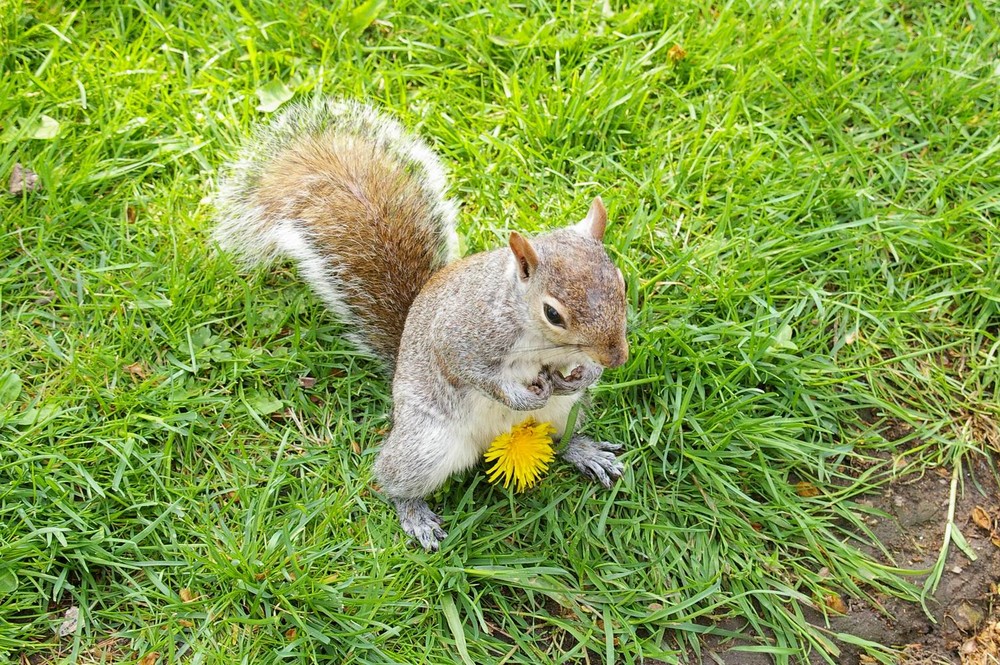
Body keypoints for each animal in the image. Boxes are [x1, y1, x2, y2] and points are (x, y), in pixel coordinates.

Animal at [215, 97, 628, 544]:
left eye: (622, 281)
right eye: (553, 314)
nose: (618, 358)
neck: (525, 323)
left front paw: (587, 374)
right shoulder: (460, 334)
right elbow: (471, 371)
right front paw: (519, 396)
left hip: (564, 412)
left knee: (559, 438)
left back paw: (585, 451)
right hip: (426, 445)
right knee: (392, 478)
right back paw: (414, 513)